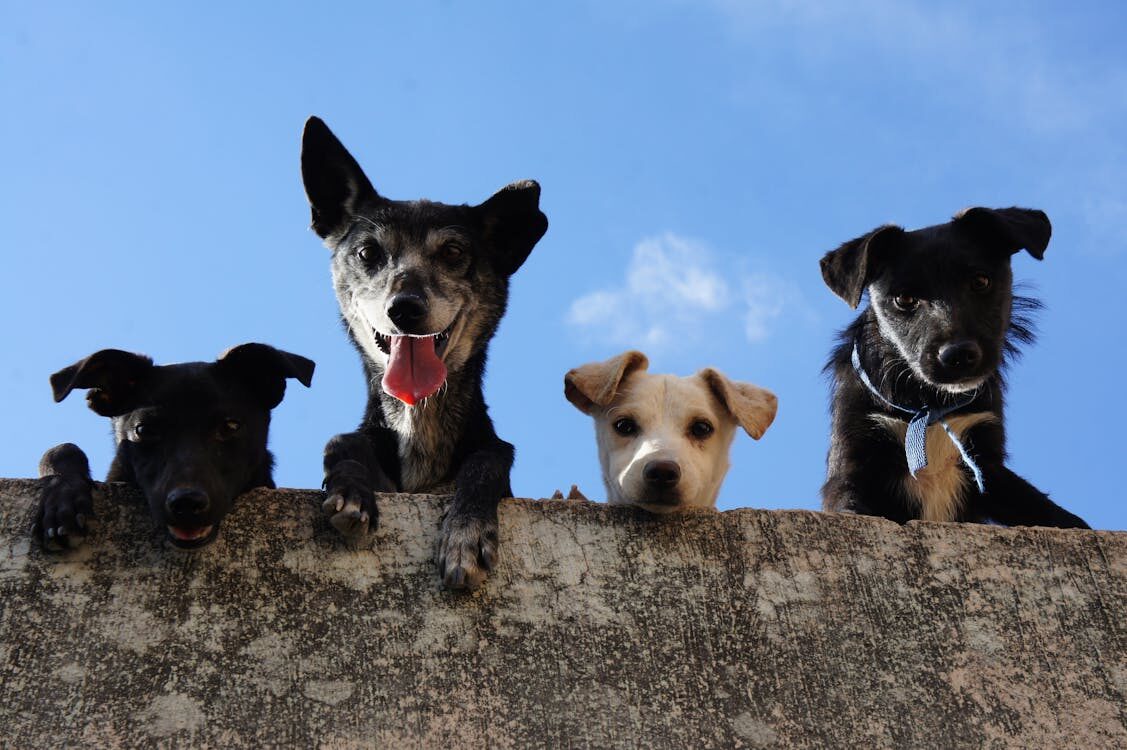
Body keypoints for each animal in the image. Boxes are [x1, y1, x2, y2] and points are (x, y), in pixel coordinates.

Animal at [297, 117, 547, 586]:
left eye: (453, 252)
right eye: (368, 252)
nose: (405, 308)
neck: (419, 423)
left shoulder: (490, 457)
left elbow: (489, 458)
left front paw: (466, 533)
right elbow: (340, 441)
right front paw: (351, 490)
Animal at [820, 207, 1090, 530]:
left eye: (980, 281)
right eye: (904, 299)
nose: (958, 355)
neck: (929, 406)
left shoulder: (987, 463)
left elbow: (1047, 510)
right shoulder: (854, 460)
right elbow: (850, 505)